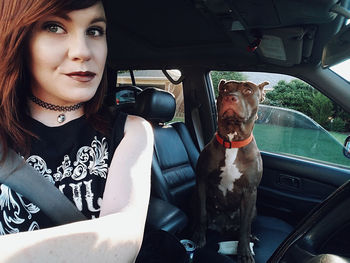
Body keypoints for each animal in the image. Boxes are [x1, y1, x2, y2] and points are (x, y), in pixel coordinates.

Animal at [194, 80, 268, 263]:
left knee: (242, 226)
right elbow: (202, 213)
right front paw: (199, 237)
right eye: (225, 89)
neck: (232, 142)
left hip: (254, 208)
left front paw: (244, 252)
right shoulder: (201, 181)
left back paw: (251, 237)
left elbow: (245, 227)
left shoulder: (250, 192)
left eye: (248, 90)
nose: (230, 97)